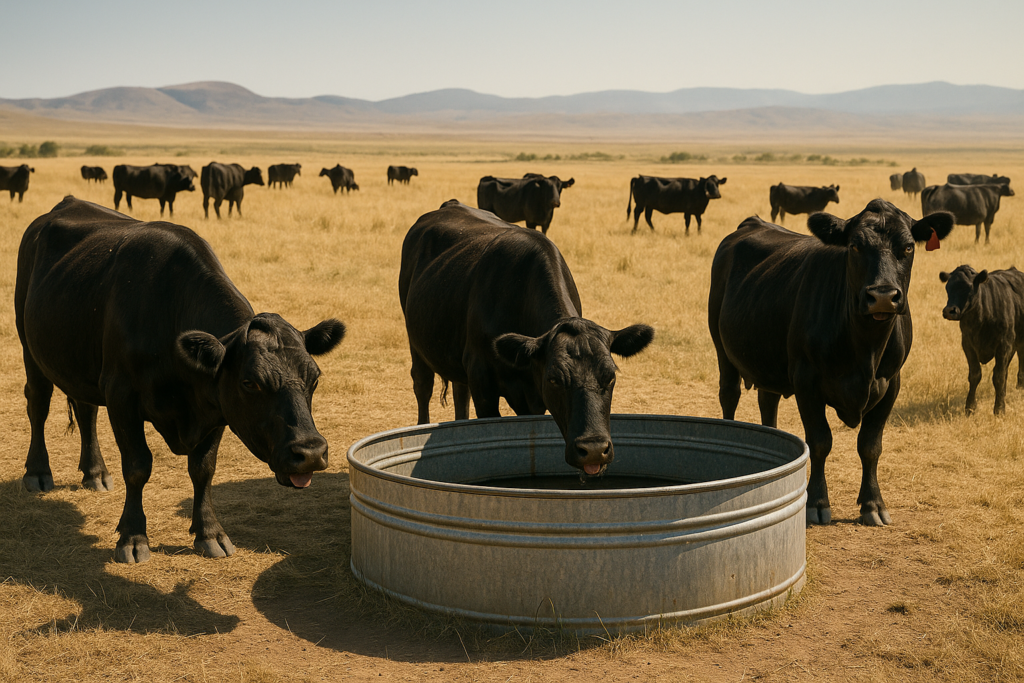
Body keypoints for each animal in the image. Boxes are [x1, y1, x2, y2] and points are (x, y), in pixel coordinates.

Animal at [15, 196, 346, 564]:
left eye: (314, 377)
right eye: (250, 383)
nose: (311, 452)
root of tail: (66, 203)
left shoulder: (214, 406)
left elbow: (203, 468)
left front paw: (210, 533)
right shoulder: (121, 395)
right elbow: (138, 465)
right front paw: (133, 538)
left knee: (86, 410)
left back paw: (95, 472)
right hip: (30, 347)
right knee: (38, 404)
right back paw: (38, 472)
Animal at [400, 199, 653, 475]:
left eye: (611, 376)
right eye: (554, 379)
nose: (594, 449)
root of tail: (450, 204)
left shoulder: (531, 398)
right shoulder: (482, 381)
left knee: (459, 392)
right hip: (415, 341)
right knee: (422, 385)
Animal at [709, 199, 954, 526]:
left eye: (908, 247)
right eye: (854, 246)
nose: (882, 296)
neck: (865, 349)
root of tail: (753, 222)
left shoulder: (891, 383)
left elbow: (870, 446)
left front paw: (873, 504)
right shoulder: (806, 380)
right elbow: (820, 441)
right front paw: (817, 502)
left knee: (768, 401)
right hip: (721, 347)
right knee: (729, 395)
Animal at [940, 265, 1024, 415]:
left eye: (968, 287)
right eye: (948, 287)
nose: (949, 311)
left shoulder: (1004, 344)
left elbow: (998, 376)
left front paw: (999, 408)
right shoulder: (967, 344)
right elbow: (975, 375)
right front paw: (970, 407)